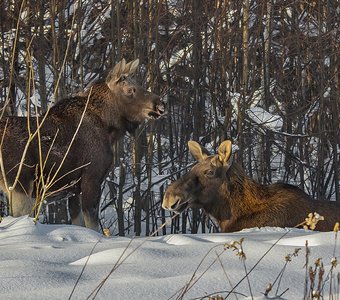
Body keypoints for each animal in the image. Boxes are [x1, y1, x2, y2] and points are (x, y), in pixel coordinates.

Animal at [0, 58, 165, 230]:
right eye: (130, 89)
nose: (160, 105)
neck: (109, 129)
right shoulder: (91, 179)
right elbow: (93, 225)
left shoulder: (74, 191)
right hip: (20, 187)